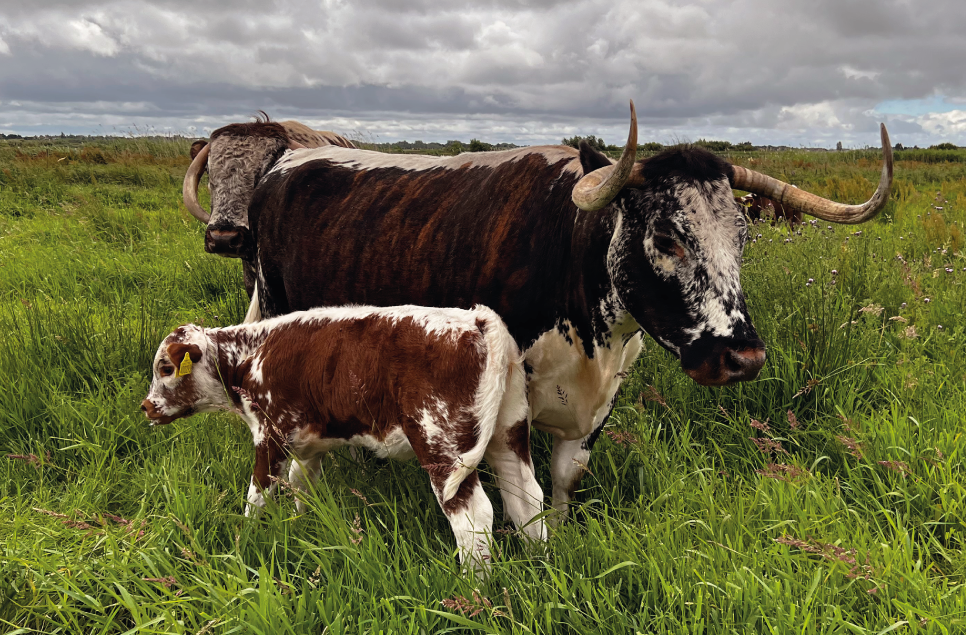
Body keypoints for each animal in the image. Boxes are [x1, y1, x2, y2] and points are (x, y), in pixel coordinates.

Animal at [142, 306, 544, 568]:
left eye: (166, 368)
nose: (147, 406)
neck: (250, 355)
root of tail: (478, 318)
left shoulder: (270, 437)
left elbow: (257, 497)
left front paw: (243, 545)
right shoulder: (308, 444)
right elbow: (302, 486)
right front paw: (304, 527)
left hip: (442, 447)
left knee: (474, 518)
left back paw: (473, 589)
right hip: (509, 430)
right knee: (527, 499)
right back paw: (538, 561)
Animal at [240, 103, 892, 516]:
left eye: (743, 236)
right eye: (666, 236)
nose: (743, 357)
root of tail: (285, 163)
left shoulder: (601, 399)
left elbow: (564, 479)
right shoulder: (507, 404)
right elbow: (521, 493)